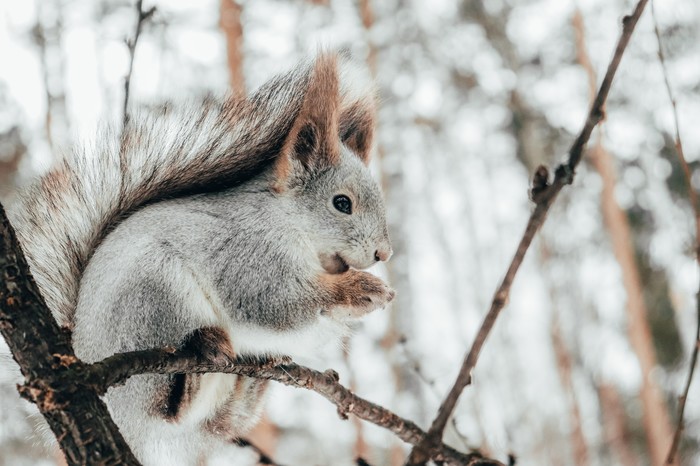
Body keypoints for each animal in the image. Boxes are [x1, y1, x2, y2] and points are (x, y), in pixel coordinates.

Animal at [8, 52, 394, 464]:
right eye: (342, 203)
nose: (383, 253)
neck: (291, 224)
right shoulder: (246, 255)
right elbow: (274, 304)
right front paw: (362, 290)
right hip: (156, 299)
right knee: (170, 406)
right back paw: (205, 352)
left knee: (217, 420)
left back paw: (251, 382)